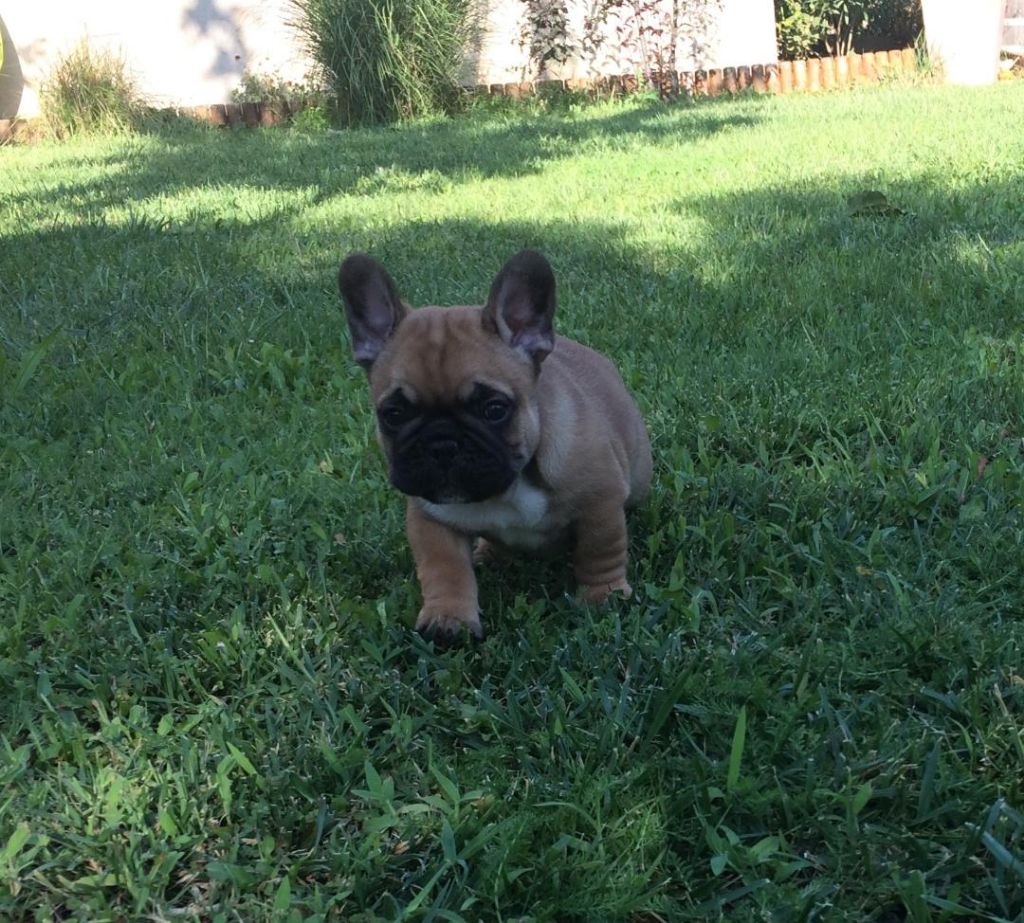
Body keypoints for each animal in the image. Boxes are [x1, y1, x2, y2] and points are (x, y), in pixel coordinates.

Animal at [339, 249, 651, 639]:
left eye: (494, 409)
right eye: (393, 414)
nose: (442, 443)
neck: (510, 486)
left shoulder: (601, 501)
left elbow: (600, 550)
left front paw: (601, 598)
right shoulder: (431, 519)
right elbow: (443, 568)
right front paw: (449, 619)